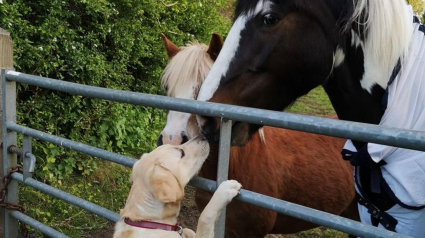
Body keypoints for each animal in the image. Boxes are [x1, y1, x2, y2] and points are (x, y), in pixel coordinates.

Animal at [112, 135, 242, 237]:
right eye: (181, 153)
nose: (203, 136)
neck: (149, 220)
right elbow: (205, 217)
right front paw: (225, 190)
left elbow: (187, 230)